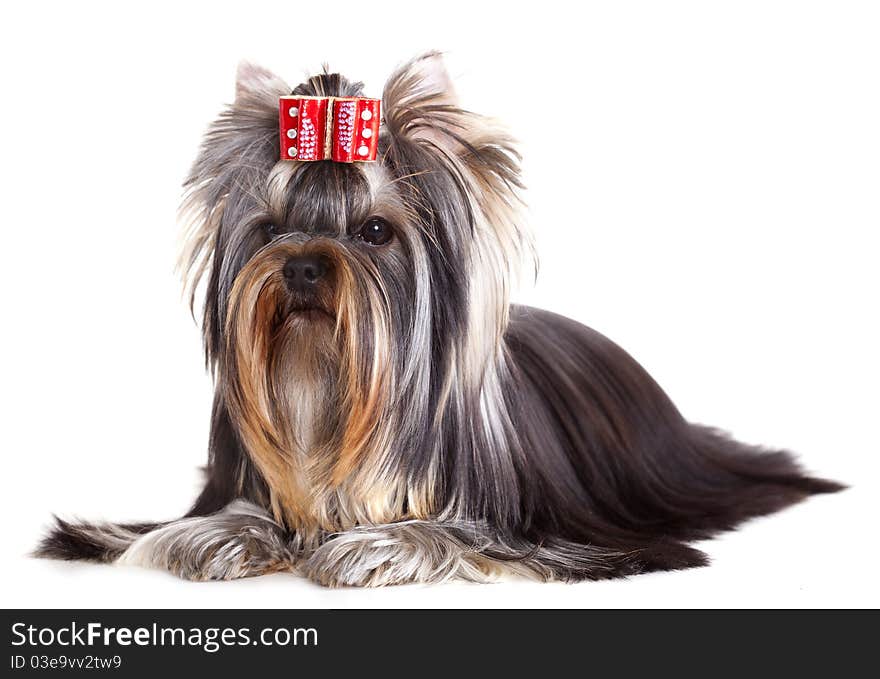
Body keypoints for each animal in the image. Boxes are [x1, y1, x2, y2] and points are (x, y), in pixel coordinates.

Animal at [36, 53, 844, 588]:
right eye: (270, 228)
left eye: (375, 231)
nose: (301, 266)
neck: (321, 388)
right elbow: (206, 522)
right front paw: (222, 535)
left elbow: (450, 532)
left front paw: (375, 545)